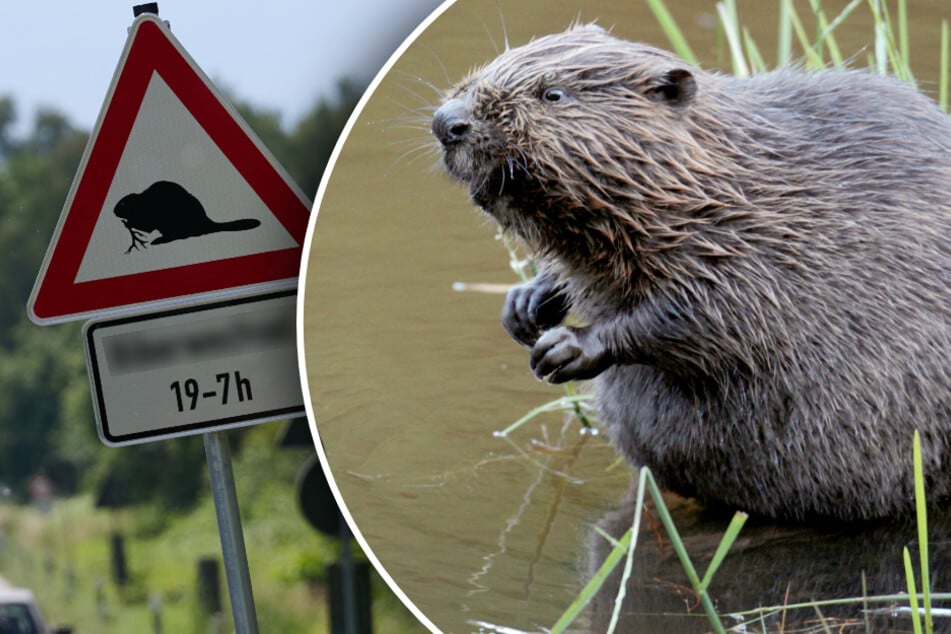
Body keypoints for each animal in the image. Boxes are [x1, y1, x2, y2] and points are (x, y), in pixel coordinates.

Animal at [116, 178, 264, 252]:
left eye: (122, 204)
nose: (114, 211)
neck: (142, 202)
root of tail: (208, 223)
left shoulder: (148, 215)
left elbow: (145, 225)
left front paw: (128, 222)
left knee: (178, 236)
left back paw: (158, 240)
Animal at [434, 23, 951, 520]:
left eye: (554, 95)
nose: (447, 122)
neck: (718, 181)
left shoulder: (756, 246)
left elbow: (709, 317)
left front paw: (565, 348)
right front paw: (524, 305)